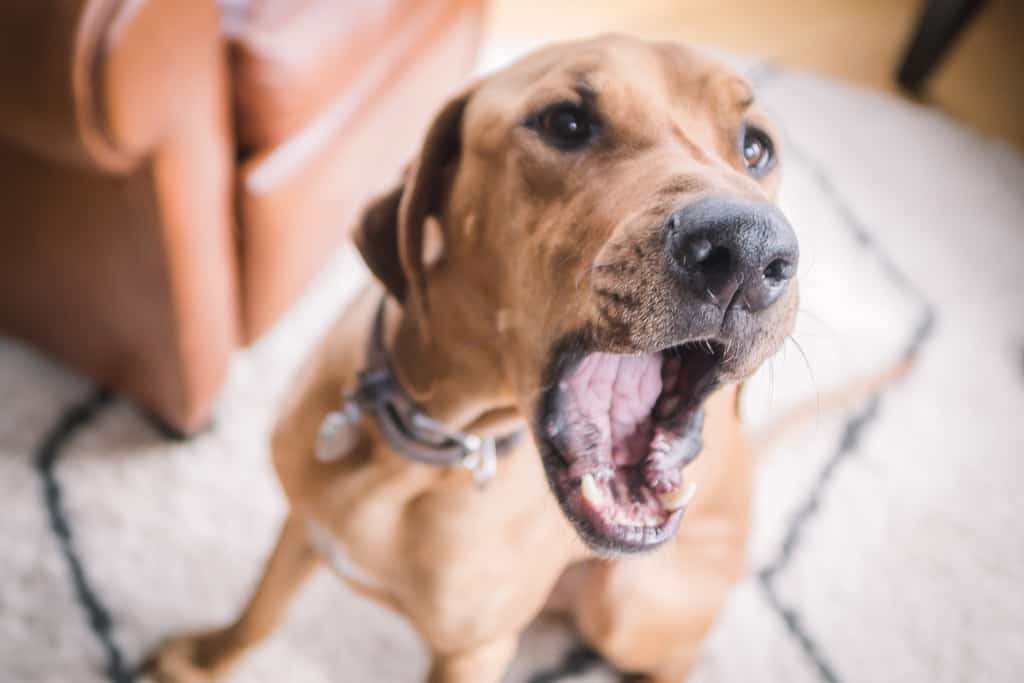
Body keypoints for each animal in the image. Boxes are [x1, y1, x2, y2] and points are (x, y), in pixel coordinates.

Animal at [148, 36, 798, 683]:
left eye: (755, 147)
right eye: (565, 122)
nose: (748, 248)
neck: (425, 442)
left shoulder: (473, 652)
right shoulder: (304, 522)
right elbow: (260, 612)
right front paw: (207, 659)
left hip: (627, 605)